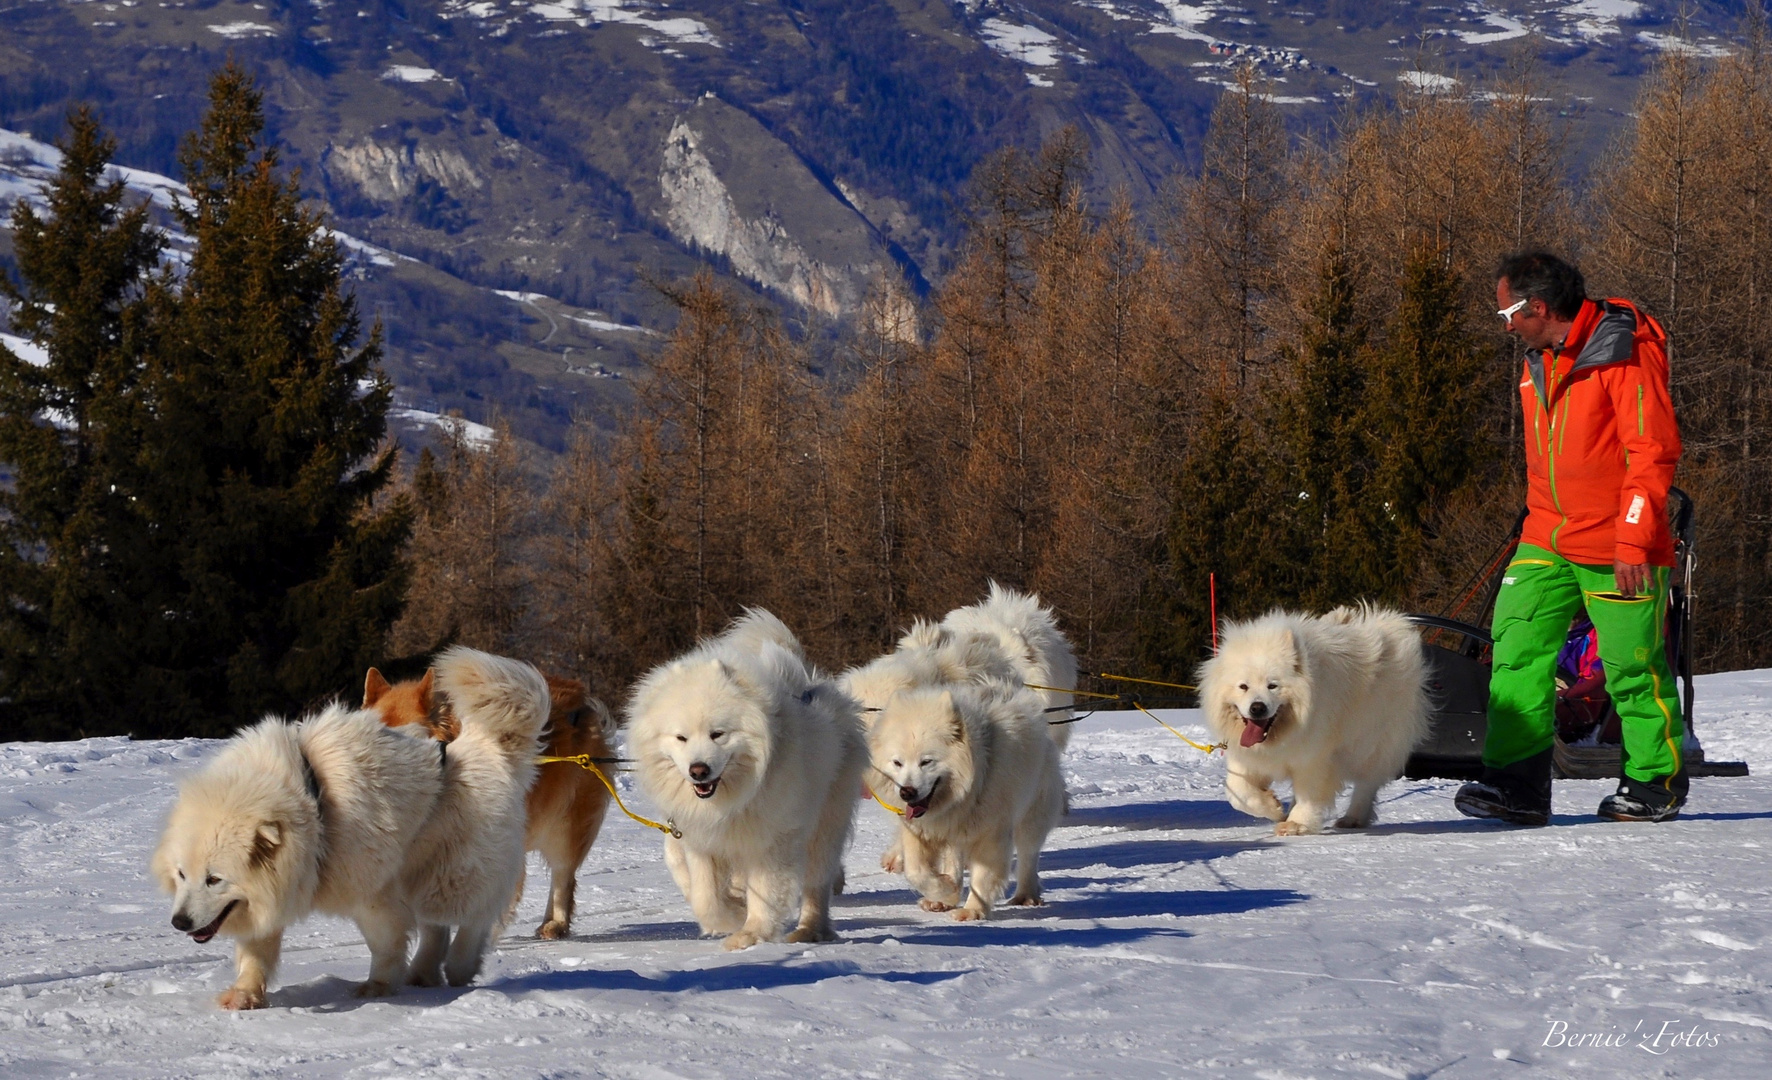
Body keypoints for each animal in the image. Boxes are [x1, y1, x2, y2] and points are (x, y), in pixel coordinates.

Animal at [152, 645, 545, 1007]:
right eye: (181, 875)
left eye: (213, 879)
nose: (179, 922)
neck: (312, 803)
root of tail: (489, 748)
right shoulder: (271, 891)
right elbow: (256, 952)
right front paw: (245, 994)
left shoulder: (372, 891)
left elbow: (385, 943)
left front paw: (377, 987)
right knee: (436, 927)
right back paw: (425, 972)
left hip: (451, 875)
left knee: (474, 917)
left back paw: (460, 966)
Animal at [627, 610, 868, 950]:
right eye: (681, 738)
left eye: (717, 734)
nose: (698, 770)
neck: (732, 798)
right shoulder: (702, 839)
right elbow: (706, 897)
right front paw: (730, 917)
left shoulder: (773, 837)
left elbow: (766, 892)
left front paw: (750, 934)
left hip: (825, 822)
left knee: (816, 883)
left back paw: (809, 930)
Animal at [864, 680, 1056, 915]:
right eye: (897, 763)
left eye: (926, 762)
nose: (906, 792)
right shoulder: (920, 831)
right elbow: (916, 871)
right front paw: (947, 891)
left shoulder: (990, 833)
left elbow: (982, 877)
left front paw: (972, 911)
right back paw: (942, 900)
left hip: (1032, 815)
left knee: (1028, 855)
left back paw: (1026, 895)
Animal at [1190, 606, 1424, 833]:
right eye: (1243, 686)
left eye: (1272, 686)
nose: (1257, 708)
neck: (1281, 735)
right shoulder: (1247, 758)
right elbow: (1239, 792)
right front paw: (1274, 808)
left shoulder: (1316, 757)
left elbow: (1309, 795)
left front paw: (1297, 823)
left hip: (1372, 744)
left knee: (1367, 784)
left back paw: (1352, 818)